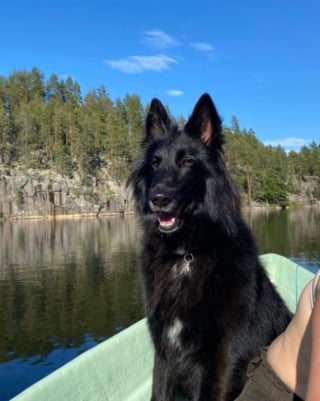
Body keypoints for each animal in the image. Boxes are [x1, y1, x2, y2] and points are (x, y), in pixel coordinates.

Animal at [127, 94, 290, 400]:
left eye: (187, 161)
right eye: (154, 163)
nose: (158, 198)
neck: (186, 253)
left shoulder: (222, 359)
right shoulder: (165, 351)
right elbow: (158, 391)